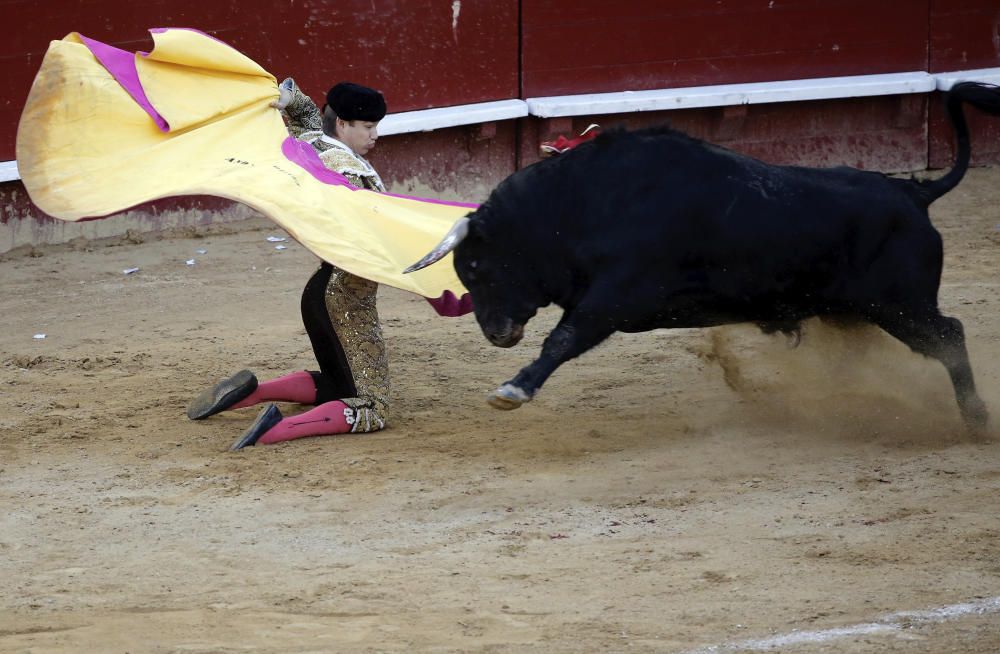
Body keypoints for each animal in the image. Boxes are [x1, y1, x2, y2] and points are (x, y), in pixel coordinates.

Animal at [406, 80, 1000, 430]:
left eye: (477, 266)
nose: (495, 333)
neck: (581, 203)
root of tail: (914, 193)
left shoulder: (614, 297)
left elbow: (564, 338)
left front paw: (513, 389)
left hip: (900, 305)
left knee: (950, 336)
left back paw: (974, 419)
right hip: (861, 311)